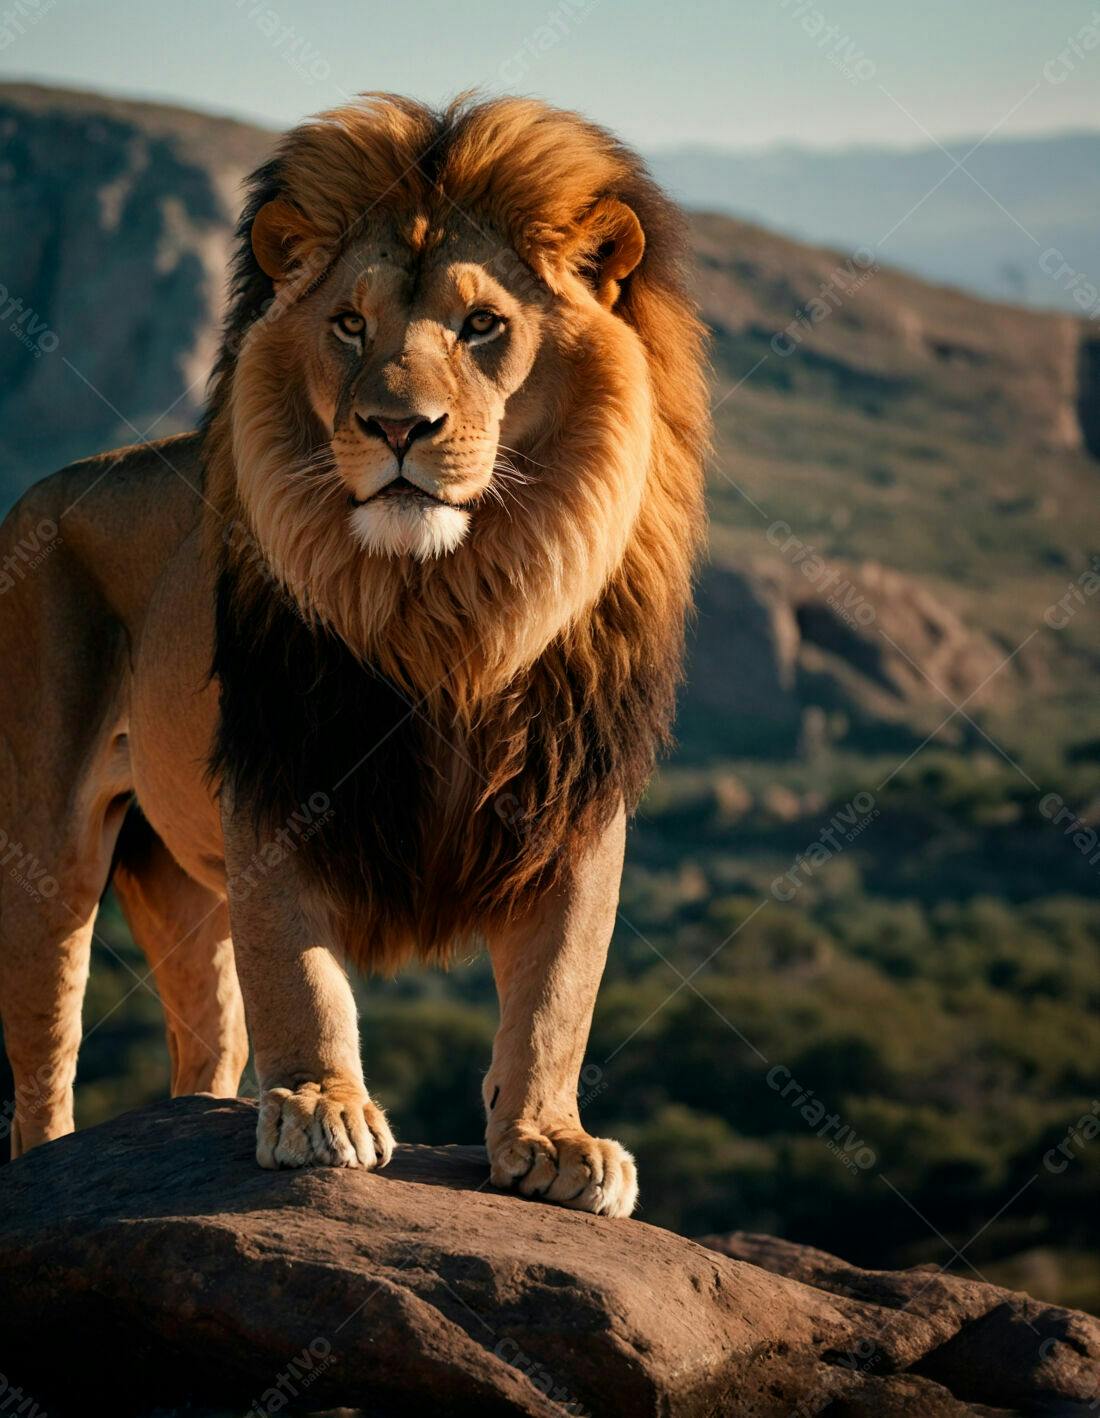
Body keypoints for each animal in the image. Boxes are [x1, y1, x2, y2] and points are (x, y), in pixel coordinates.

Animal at [0, 94, 707, 1217]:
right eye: (349, 325)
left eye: (482, 325)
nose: (395, 426)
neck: (448, 604)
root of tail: (40, 493)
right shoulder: (284, 775)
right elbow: (300, 973)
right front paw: (320, 1106)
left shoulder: (574, 802)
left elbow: (558, 990)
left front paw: (551, 1138)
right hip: (42, 854)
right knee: (44, 1061)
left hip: (181, 882)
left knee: (205, 1040)